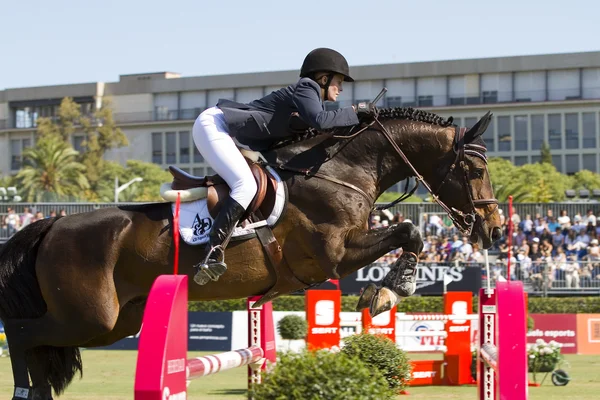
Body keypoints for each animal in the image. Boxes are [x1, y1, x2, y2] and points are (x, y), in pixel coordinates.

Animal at [0, 106, 502, 400]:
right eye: (475, 168)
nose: (495, 228)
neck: (340, 171)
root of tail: (51, 224)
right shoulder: (335, 256)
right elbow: (409, 231)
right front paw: (388, 292)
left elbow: (406, 233)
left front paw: (387, 291)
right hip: (90, 317)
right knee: (22, 334)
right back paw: (24, 391)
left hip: (116, 320)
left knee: (38, 342)